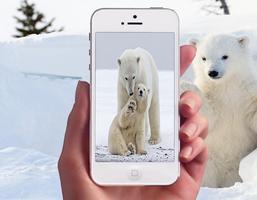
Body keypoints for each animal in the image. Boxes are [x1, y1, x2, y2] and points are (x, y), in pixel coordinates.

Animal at [180, 34, 257, 188]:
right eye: (203, 58)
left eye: (225, 56)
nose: (212, 72)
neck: (226, 87)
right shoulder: (213, 98)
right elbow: (208, 115)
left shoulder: (246, 95)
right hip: (210, 162)